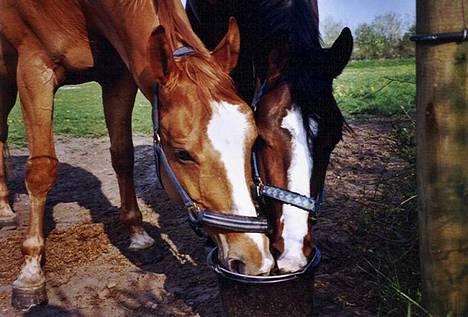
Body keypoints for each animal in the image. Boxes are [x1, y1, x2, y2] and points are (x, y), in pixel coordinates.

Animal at [0, 0, 274, 308]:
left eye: (252, 141)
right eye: (182, 153)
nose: (255, 258)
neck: (82, 10)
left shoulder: (118, 76)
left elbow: (123, 156)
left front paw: (138, 237)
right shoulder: (34, 71)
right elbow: (41, 170)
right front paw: (31, 272)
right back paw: (5, 210)